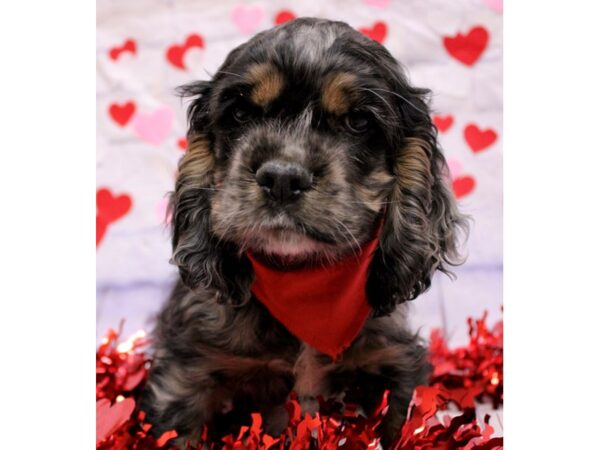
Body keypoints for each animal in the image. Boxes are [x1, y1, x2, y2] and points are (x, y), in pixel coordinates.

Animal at [142, 16, 468, 446]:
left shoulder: (397, 365)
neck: (302, 283)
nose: (282, 178)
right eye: (241, 114)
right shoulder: (184, 375)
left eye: (358, 122)